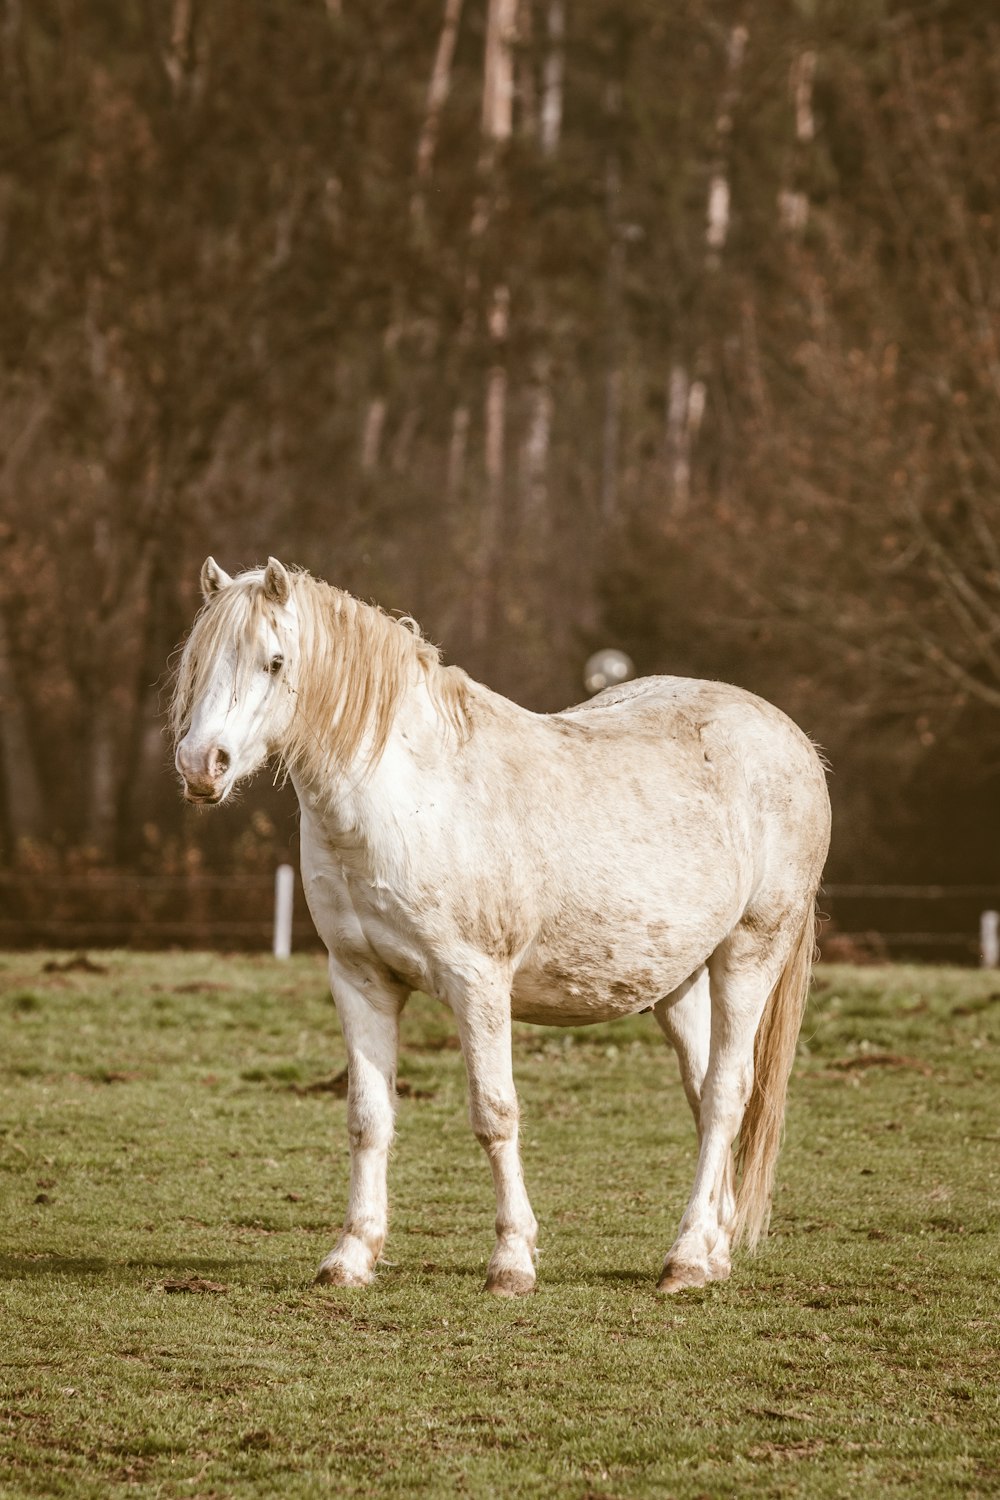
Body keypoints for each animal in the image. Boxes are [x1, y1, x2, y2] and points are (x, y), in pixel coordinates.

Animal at [172, 558, 827, 1296]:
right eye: (197, 661)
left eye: (274, 661)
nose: (201, 765)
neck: (411, 800)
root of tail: (789, 736)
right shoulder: (361, 980)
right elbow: (368, 1118)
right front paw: (351, 1256)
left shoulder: (478, 982)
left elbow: (495, 1113)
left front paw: (512, 1261)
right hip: (679, 981)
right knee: (703, 1091)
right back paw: (713, 1250)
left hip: (749, 955)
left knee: (725, 1096)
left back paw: (685, 1258)